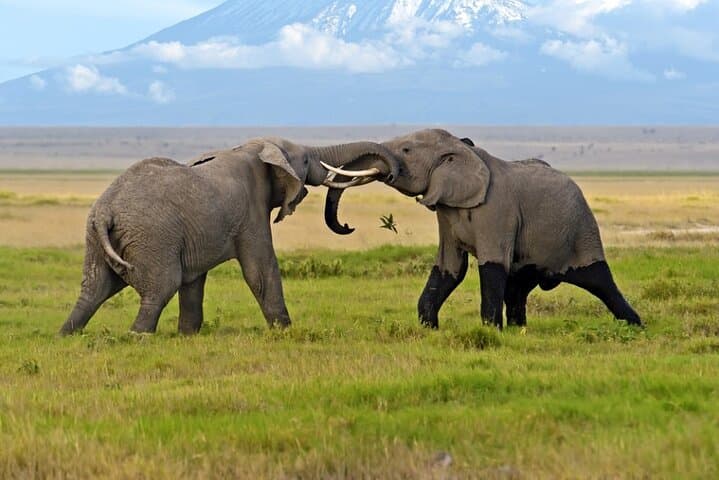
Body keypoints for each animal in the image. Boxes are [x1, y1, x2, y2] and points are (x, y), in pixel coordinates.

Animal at [60, 138, 399, 335]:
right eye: (304, 161)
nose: (348, 226)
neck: (253, 148)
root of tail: (106, 211)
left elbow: (194, 281)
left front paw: (188, 335)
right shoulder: (251, 211)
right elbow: (260, 270)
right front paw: (285, 332)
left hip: (98, 238)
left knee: (94, 289)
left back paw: (67, 335)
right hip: (152, 238)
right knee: (162, 285)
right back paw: (137, 336)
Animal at [323, 129, 642, 329]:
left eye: (406, 150)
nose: (348, 226)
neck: (462, 150)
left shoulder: (497, 210)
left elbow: (491, 267)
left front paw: (490, 332)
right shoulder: (446, 211)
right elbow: (450, 268)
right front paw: (429, 329)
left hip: (582, 230)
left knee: (600, 280)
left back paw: (635, 325)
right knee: (518, 287)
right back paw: (518, 330)